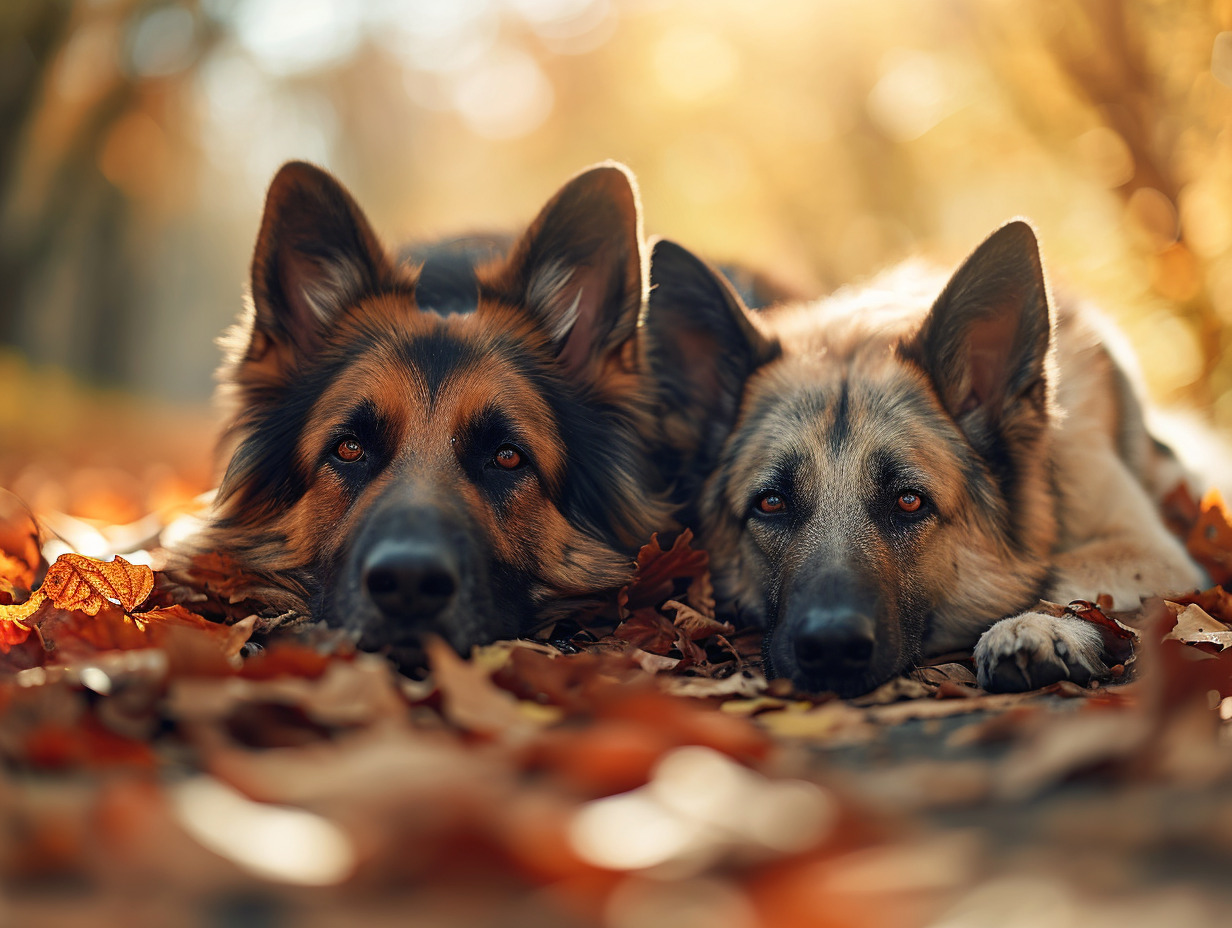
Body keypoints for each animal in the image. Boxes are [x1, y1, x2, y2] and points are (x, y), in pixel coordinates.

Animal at [645, 220, 1202, 690]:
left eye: (910, 501)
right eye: (771, 503)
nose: (831, 647)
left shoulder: (1152, 549)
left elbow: (1055, 573)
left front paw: (1040, 626)